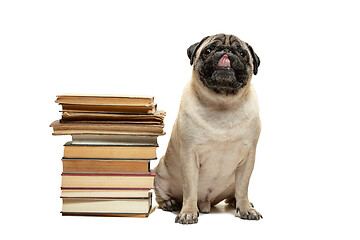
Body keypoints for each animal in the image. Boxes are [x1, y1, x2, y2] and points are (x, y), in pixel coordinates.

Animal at [154, 32, 262, 224]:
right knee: (162, 194)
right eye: (209, 50)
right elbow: (190, 188)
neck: (222, 105)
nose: (226, 51)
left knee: (236, 192)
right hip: (160, 174)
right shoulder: (190, 156)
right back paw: (170, 203)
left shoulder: (248, 158)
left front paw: (245, 209)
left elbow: (243, 188)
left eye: (242, 53)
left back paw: (239, 202)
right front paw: (188, 212)